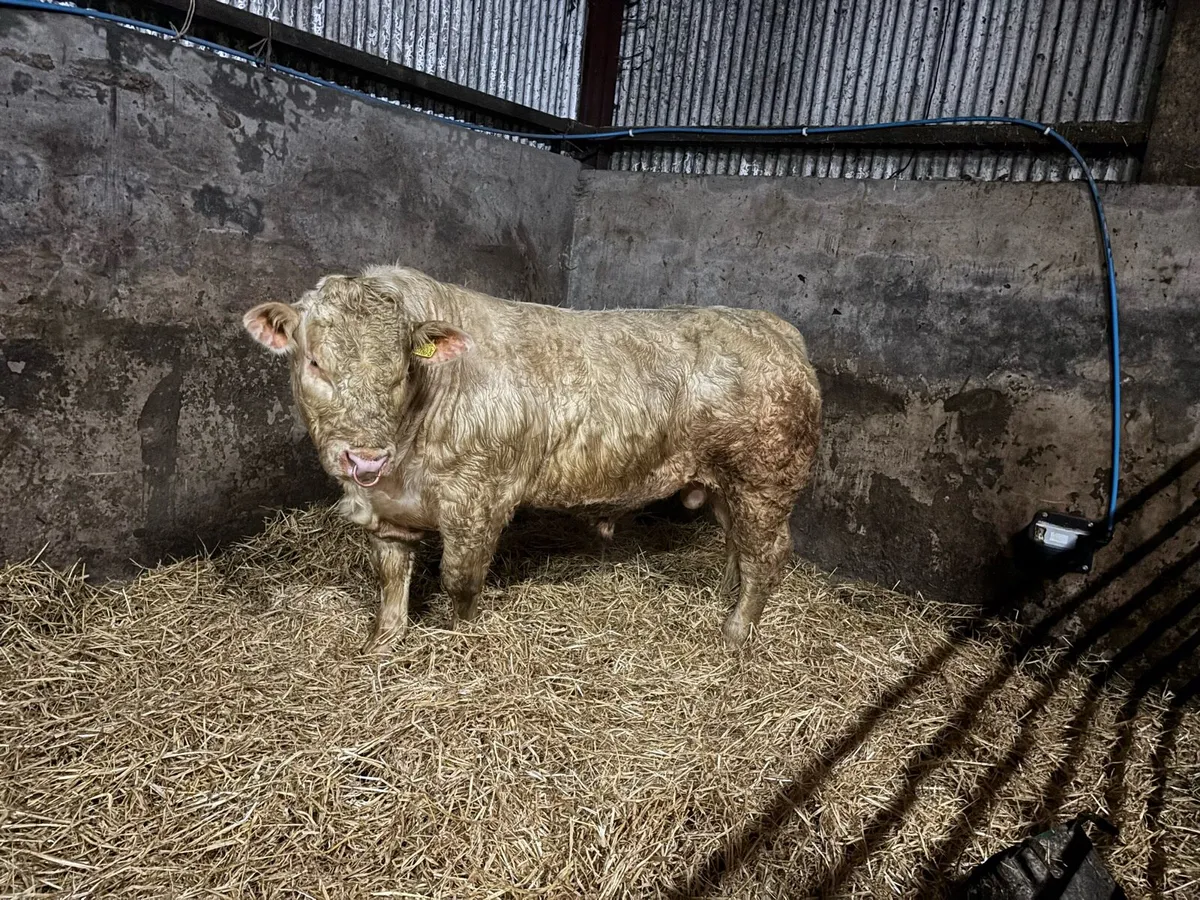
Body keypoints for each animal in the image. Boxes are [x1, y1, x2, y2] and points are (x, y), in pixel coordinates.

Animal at [242, 266, 821, 652]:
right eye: (315, 362)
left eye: (405, 367)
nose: (365, 457)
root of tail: (778, 330)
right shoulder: (389, 512)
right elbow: (389, 581)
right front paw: (382, 643)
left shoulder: (476, 502)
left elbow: (459, 580)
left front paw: (459, 641)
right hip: (728, 484)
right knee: (736, 545)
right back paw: (724, 596)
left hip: (765, 480)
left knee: (767, 555)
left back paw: (735, 631)